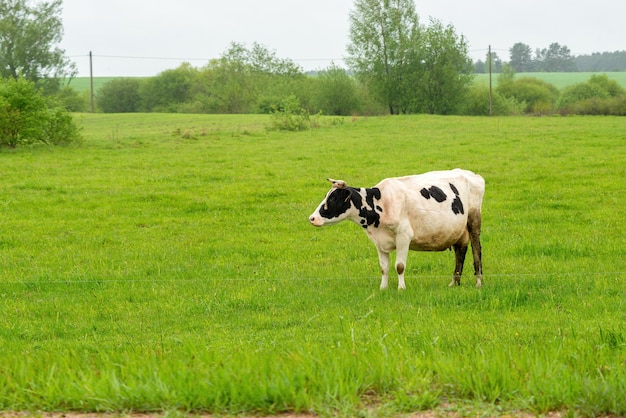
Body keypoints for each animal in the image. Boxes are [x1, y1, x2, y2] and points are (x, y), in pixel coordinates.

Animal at [308, 168, 482, 290]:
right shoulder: (379, 241)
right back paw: (454, 283)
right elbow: (384, 267)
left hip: (474, 221)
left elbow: (399, 266)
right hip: (458, 231)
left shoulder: (404, 236)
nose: (312, 218)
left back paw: (479, 282)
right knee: (460, 253)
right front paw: (383, 288)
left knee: (476, 250)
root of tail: (473, 175)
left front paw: (401, 287)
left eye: (333, 198)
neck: (381, 203)